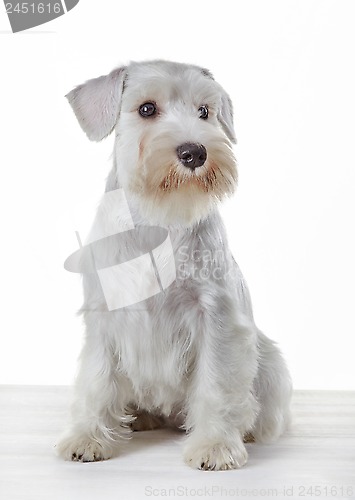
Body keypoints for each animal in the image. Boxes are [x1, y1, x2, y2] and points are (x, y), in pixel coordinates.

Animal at [57, 60, 294, 470]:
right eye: (147, 108)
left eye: (205, 111)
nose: (194, 152)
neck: (160, 218)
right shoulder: (105, 318)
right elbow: (97, 382)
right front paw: (87, 438)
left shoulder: (215, 319)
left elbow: (216, 384)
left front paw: (215, 446)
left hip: (271, 365)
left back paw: (245, 429)